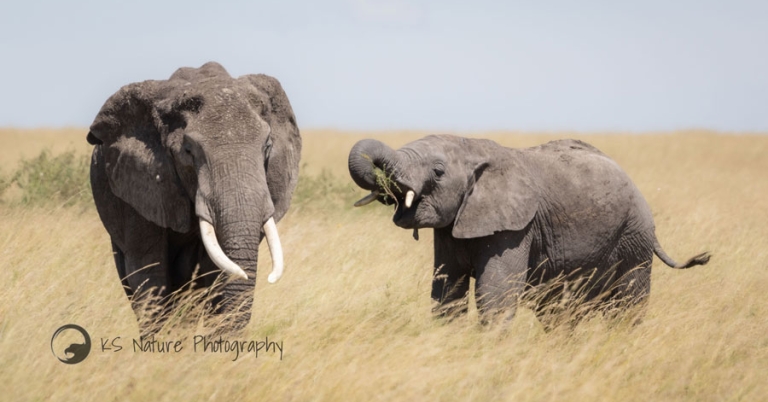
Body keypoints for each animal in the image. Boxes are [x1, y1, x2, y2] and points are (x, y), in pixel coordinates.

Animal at [348, 135, 710, 327]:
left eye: (438, 172)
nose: (385, 185)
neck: (472, 147)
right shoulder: (454, 224)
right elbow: (446, 290)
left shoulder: (515, 227)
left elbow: (495, 294)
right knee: (561, 310)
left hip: (634, 236)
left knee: (628, 303)